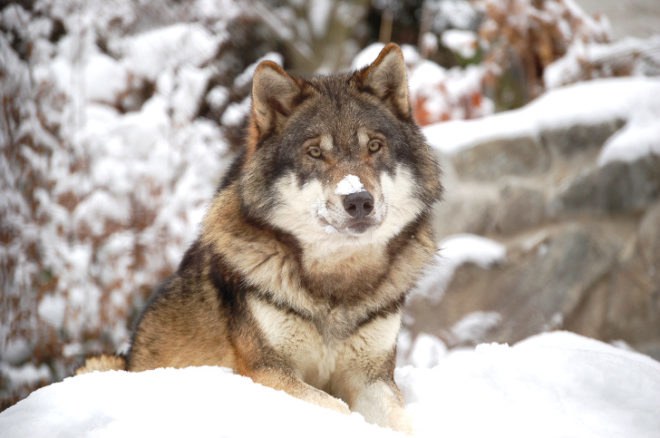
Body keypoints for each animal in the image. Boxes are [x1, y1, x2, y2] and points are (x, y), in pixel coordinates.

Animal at [78, 43, 442, 433]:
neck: (336, 286)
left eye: (374, 146)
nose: (358, 200)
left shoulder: (372, 378)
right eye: (315, 152)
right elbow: (337, 408)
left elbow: (401, 422)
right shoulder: (266, 371)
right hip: (101, 363)